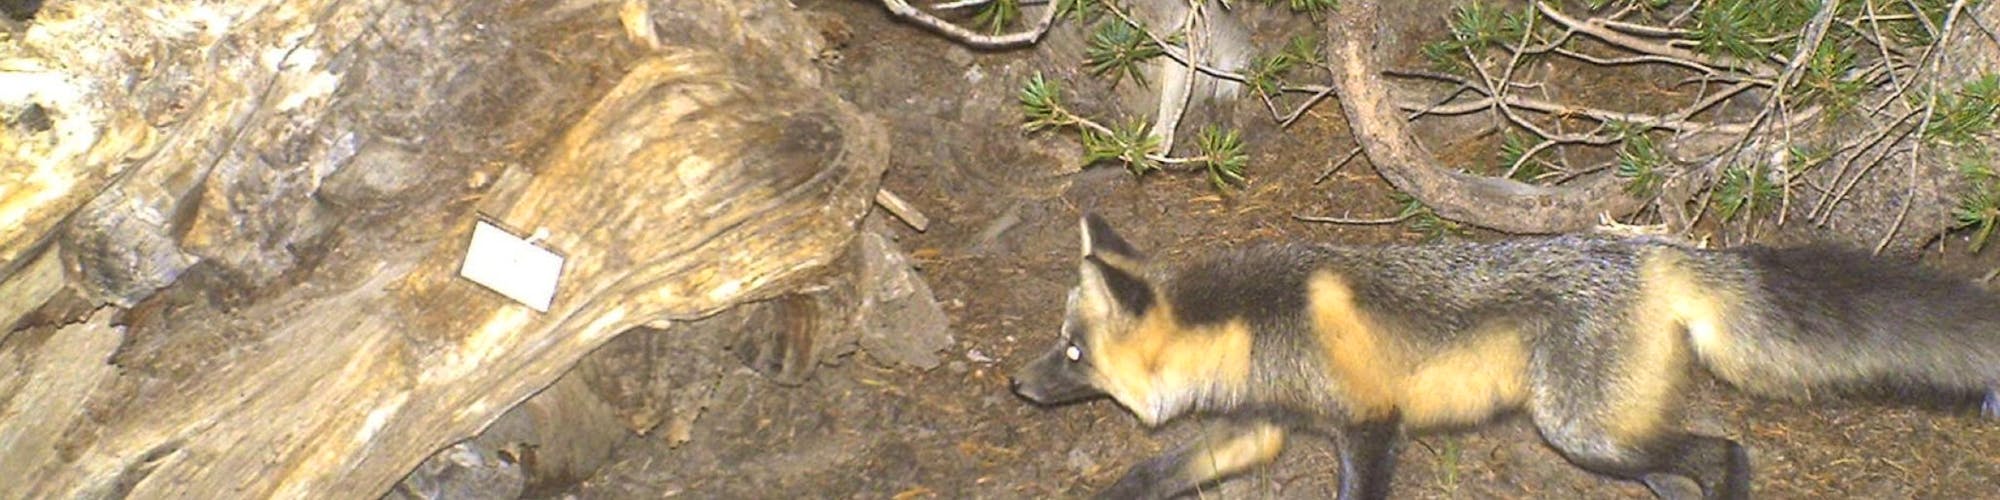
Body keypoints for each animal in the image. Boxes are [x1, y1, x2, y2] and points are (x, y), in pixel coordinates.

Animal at [1010, 213, 2000, 499]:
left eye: (1071, 350)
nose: (1017, 385)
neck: (1253, 325)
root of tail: (1661, 250)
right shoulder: (1257, 426)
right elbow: (1146, 478)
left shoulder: (1370, 427)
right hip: (1613, 441)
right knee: (1686, 469)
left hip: (1581, 432)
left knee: (1726, 454)